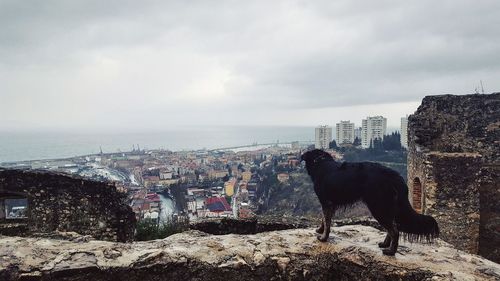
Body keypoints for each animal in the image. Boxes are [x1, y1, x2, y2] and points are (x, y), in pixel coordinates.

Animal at [300, 150, 438, 255]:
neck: (319, 162)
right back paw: (385, 244)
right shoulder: (328, 203)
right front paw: (320, 230)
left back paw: (390, 251)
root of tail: (395, 176)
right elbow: (324, 219)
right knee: (393, 227)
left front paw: (323, 238)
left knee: (395, 230)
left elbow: (327, 221)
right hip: (386, 207)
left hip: (378, 206)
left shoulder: (326, 202)